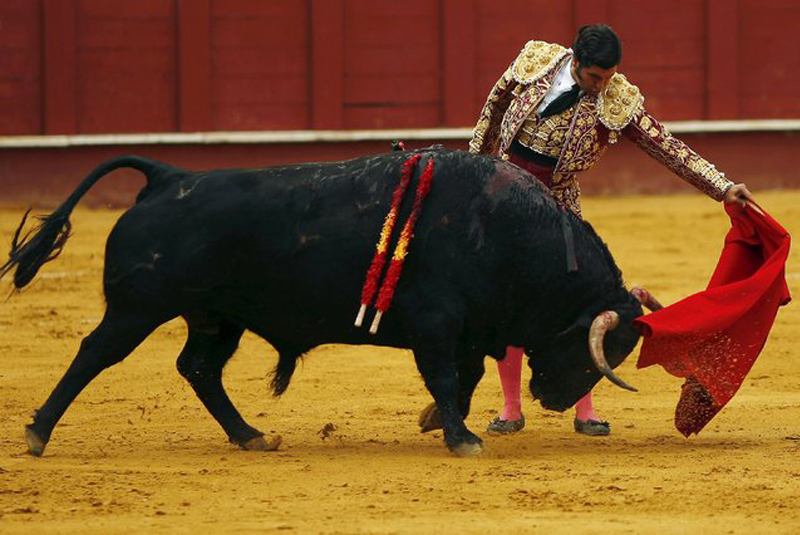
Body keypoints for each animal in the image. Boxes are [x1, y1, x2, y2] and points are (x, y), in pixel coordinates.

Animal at [1, 149, 658, 457]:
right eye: (596, 347)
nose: (556, 401)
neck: (506, 231)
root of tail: (168, 176)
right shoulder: (437, 324)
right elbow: (448, 378)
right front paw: (460, 438)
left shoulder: (465, 329)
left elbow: (464, 379)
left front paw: (441, 423)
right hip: (137, 310)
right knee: (94, 354)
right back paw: (37, 433)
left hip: (217, 318)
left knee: (200, 369)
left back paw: (251, 436)